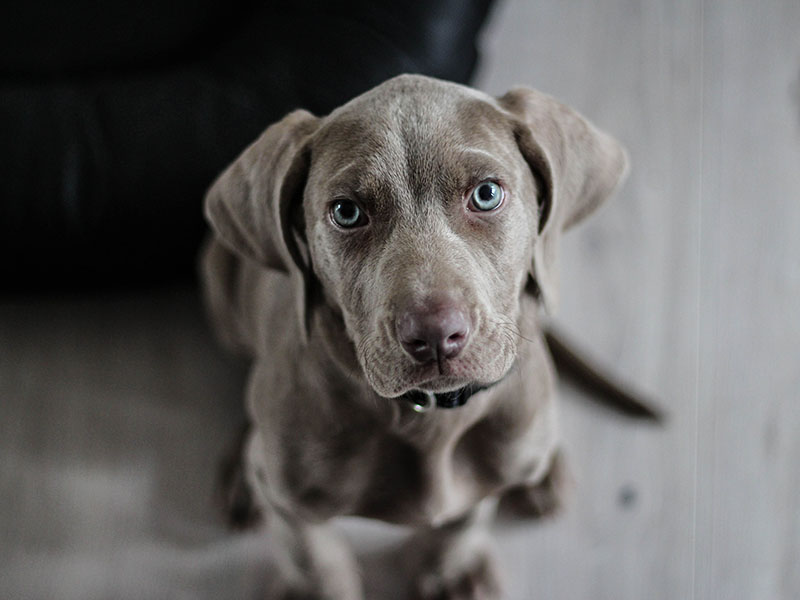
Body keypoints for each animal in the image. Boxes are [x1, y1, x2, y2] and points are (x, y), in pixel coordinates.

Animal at [203, 72, 636, 596]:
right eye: (346, 212)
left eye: (486, 194)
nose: (434, 336)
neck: (429, 418)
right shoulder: (289, 501)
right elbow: (312, 555)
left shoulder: (485, 473)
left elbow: (465, 518)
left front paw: (452, 570)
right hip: (218, 281)